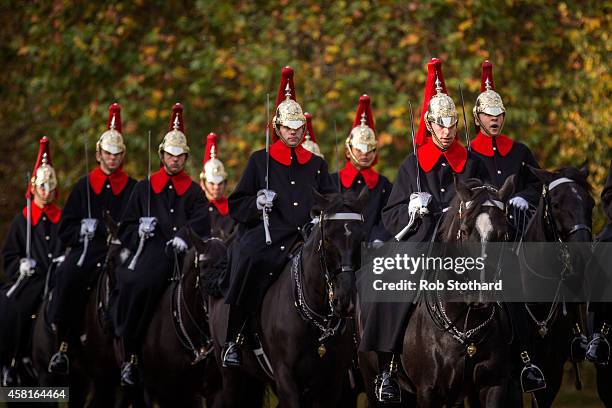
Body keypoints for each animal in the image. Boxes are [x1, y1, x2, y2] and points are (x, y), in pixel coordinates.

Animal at [208, 190, 366, 406]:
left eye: (361, 239)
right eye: (327, 239)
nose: (346, 301)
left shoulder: (331, 384)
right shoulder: (286, 378)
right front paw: (263, 201)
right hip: (232, 377)